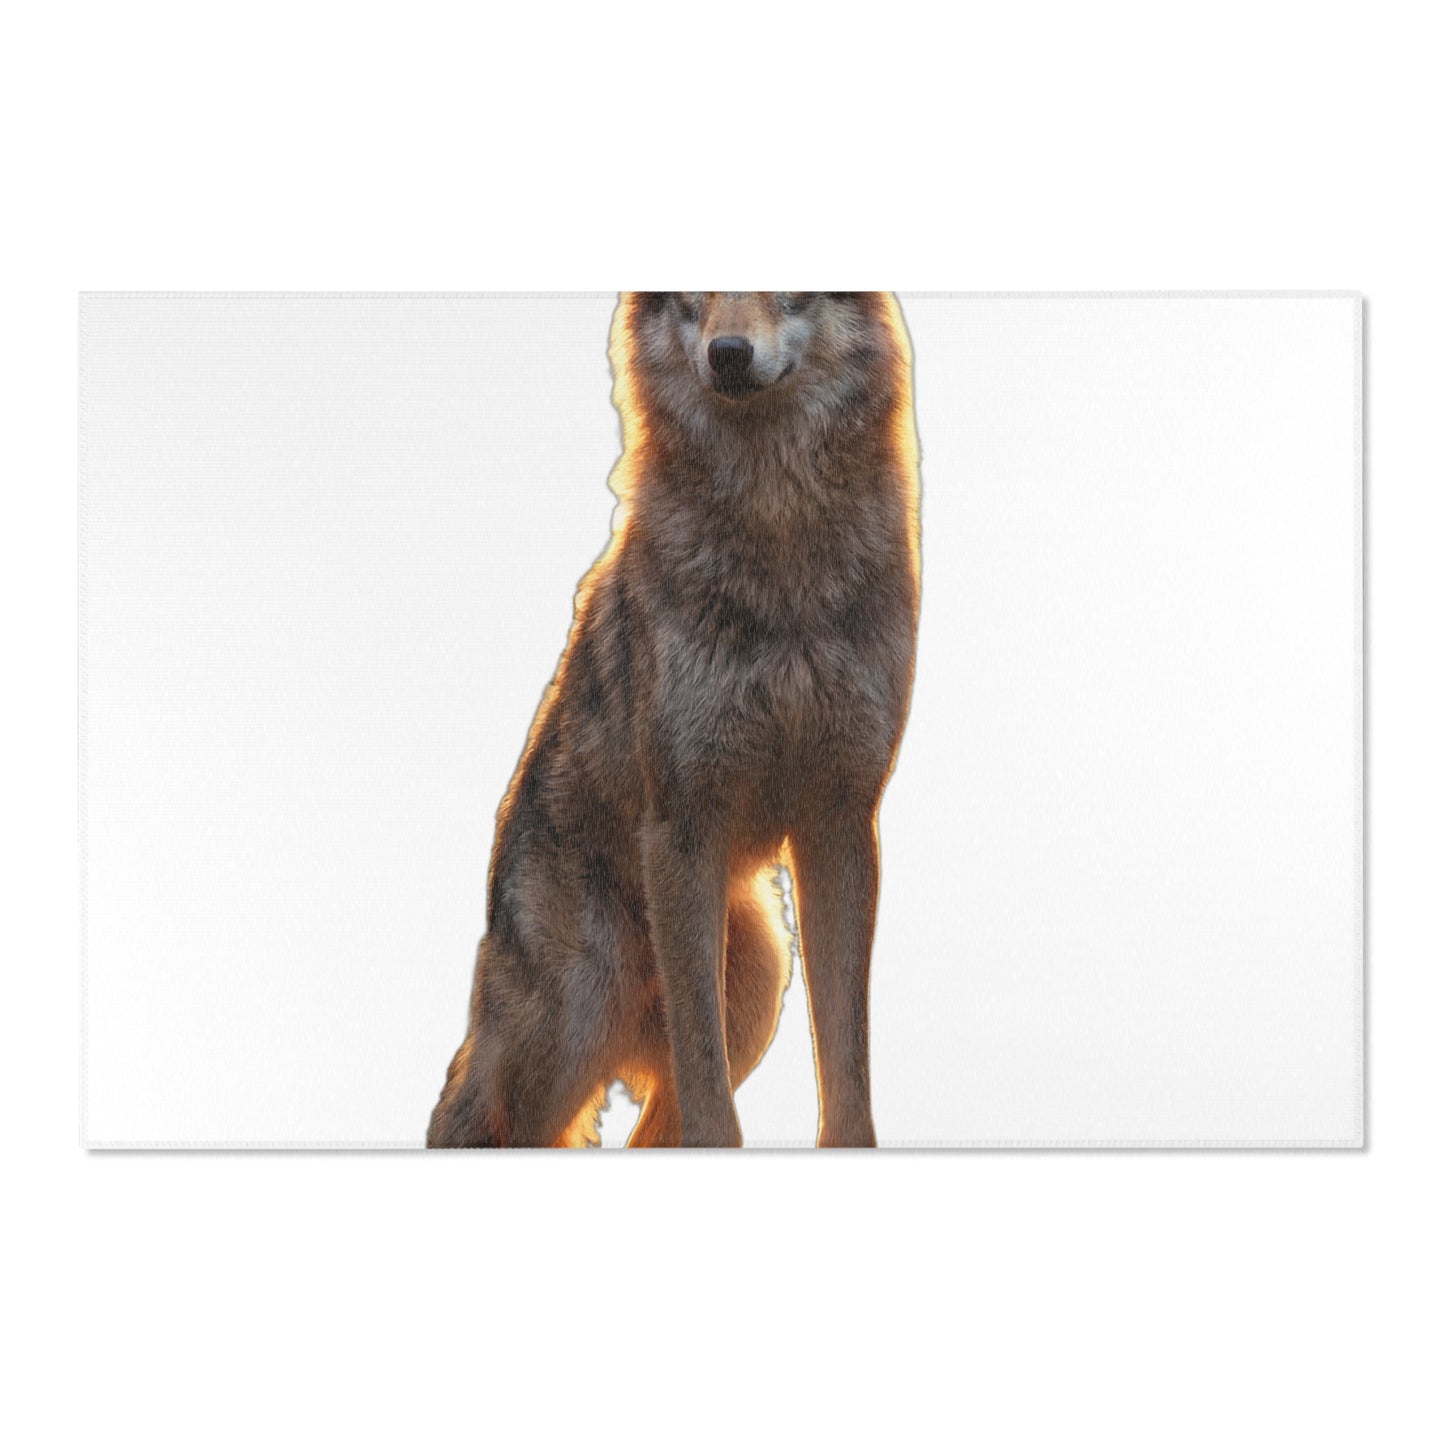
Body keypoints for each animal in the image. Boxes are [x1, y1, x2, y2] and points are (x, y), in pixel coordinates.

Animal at [426, 292, 921, 1148]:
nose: (727, 353)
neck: (777, 535)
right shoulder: (684, 824)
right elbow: (706, 1090)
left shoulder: (841, 819)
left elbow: (845, 1066)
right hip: (575, 1014)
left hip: (755, 982)